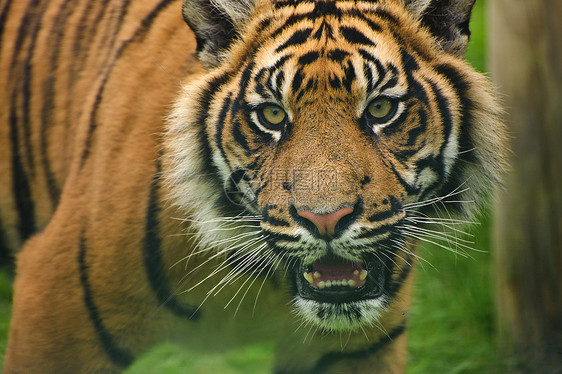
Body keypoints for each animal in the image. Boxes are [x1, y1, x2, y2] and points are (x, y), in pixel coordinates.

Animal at [0, 0, 506, 372]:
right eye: (272, 115)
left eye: (381, 109)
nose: (326, 220)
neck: (265, 279)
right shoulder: (54, 313)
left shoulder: (355, 350)